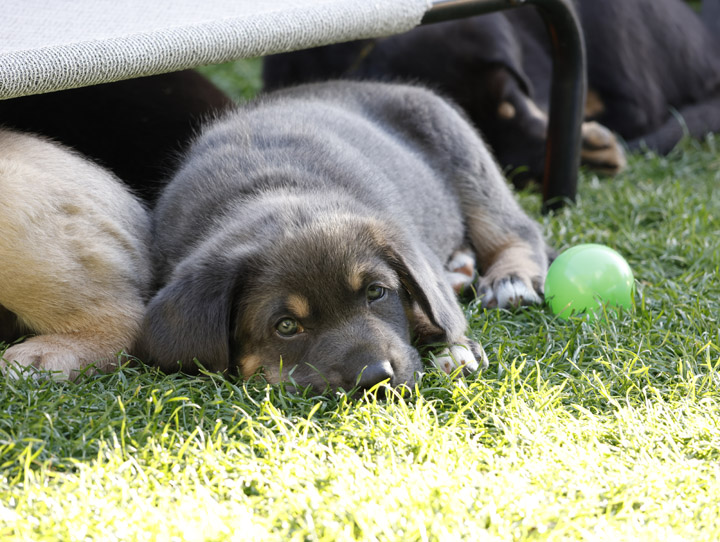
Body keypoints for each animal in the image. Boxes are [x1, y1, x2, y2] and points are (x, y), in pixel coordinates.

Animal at [138, 81, 548, 394]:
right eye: (286, 326)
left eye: (376, 292)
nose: (375, 379)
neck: (273, 190)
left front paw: (452, 348)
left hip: (465, 156)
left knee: (517, 231)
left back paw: (510, 280)